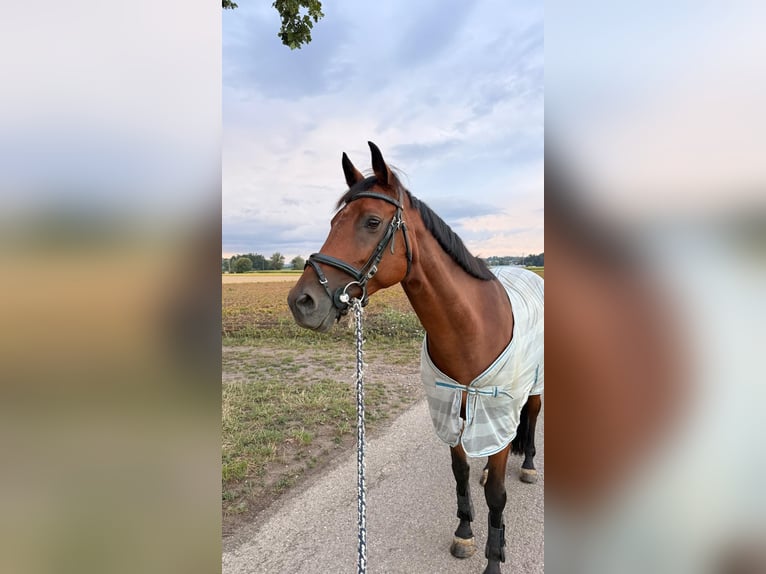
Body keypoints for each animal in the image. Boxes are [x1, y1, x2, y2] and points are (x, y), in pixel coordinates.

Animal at [287, 142, 543, 574]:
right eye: (334, 221)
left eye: (372, 221)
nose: (302, 301)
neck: (472, 329)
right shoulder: (450, 412)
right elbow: (459, 473)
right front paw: (464, 532)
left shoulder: (495, 410)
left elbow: (497, 494)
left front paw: (494, 557)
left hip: (536, 385)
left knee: (533, 417)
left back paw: (528, 466)